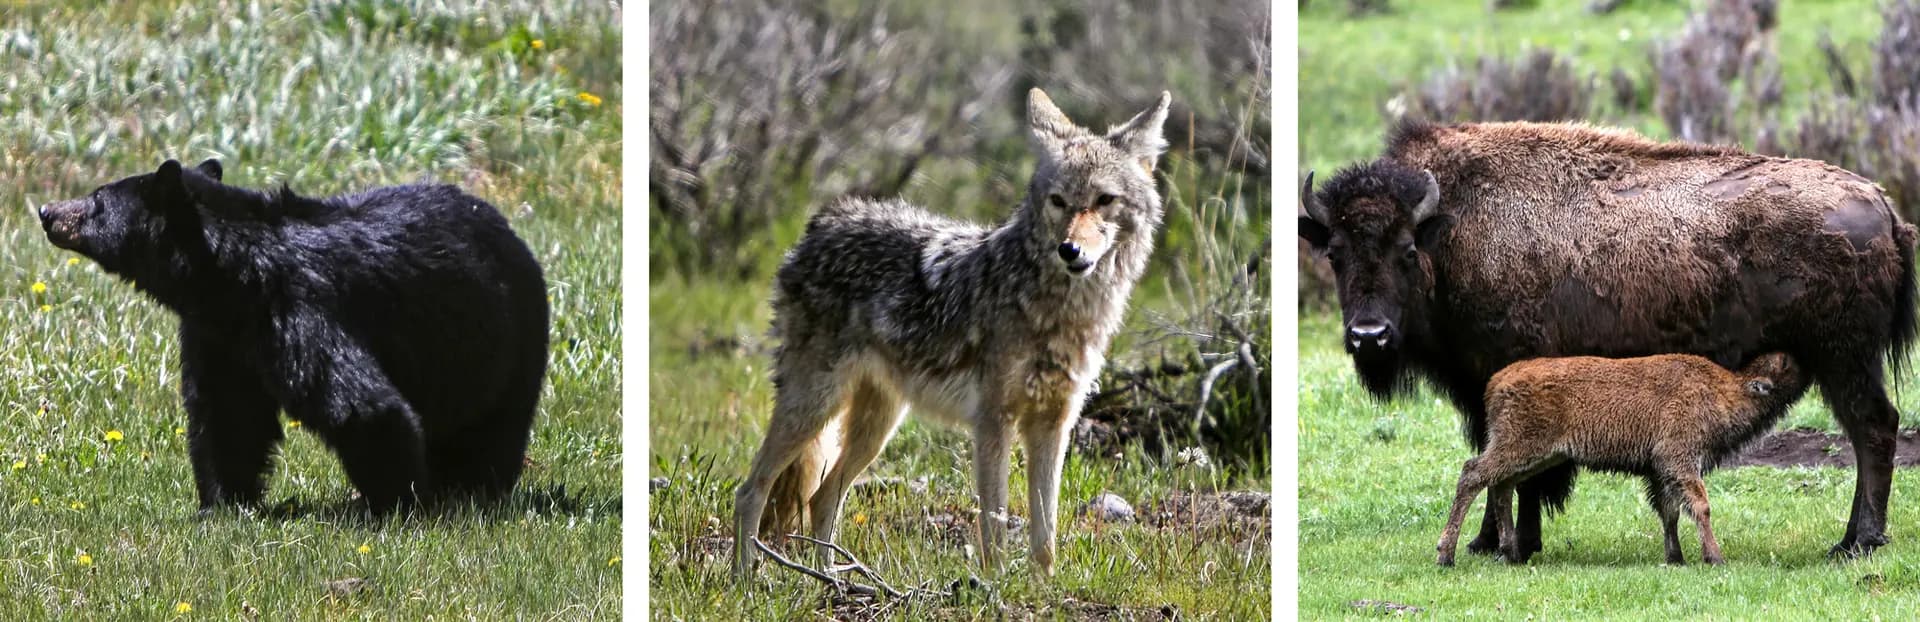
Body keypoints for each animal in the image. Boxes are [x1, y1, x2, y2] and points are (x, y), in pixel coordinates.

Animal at [36, 158, 549, 514]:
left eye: (97, 200)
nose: (46, 211)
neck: (232, 278)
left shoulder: (301, 308)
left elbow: (362, 405)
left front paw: (396, 504)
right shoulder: (220, 336)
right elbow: (227, 414)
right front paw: (222, 505)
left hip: (510, 341)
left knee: (494, 427)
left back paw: (471, 490)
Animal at [732, 88, 1172, 577]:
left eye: (1104, 199)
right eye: (1058, 201)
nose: (1069, 250)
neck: (1058, 310)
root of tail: (822, 221)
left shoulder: (1054, 423)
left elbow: (1046, 534)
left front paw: (1043, 587)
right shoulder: (994, 421)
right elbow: (994, 525)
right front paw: (996, 585)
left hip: (876, 426)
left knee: (821, 496)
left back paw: (828, 580)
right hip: (813, 405)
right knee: (750, 491)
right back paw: (745, 581)